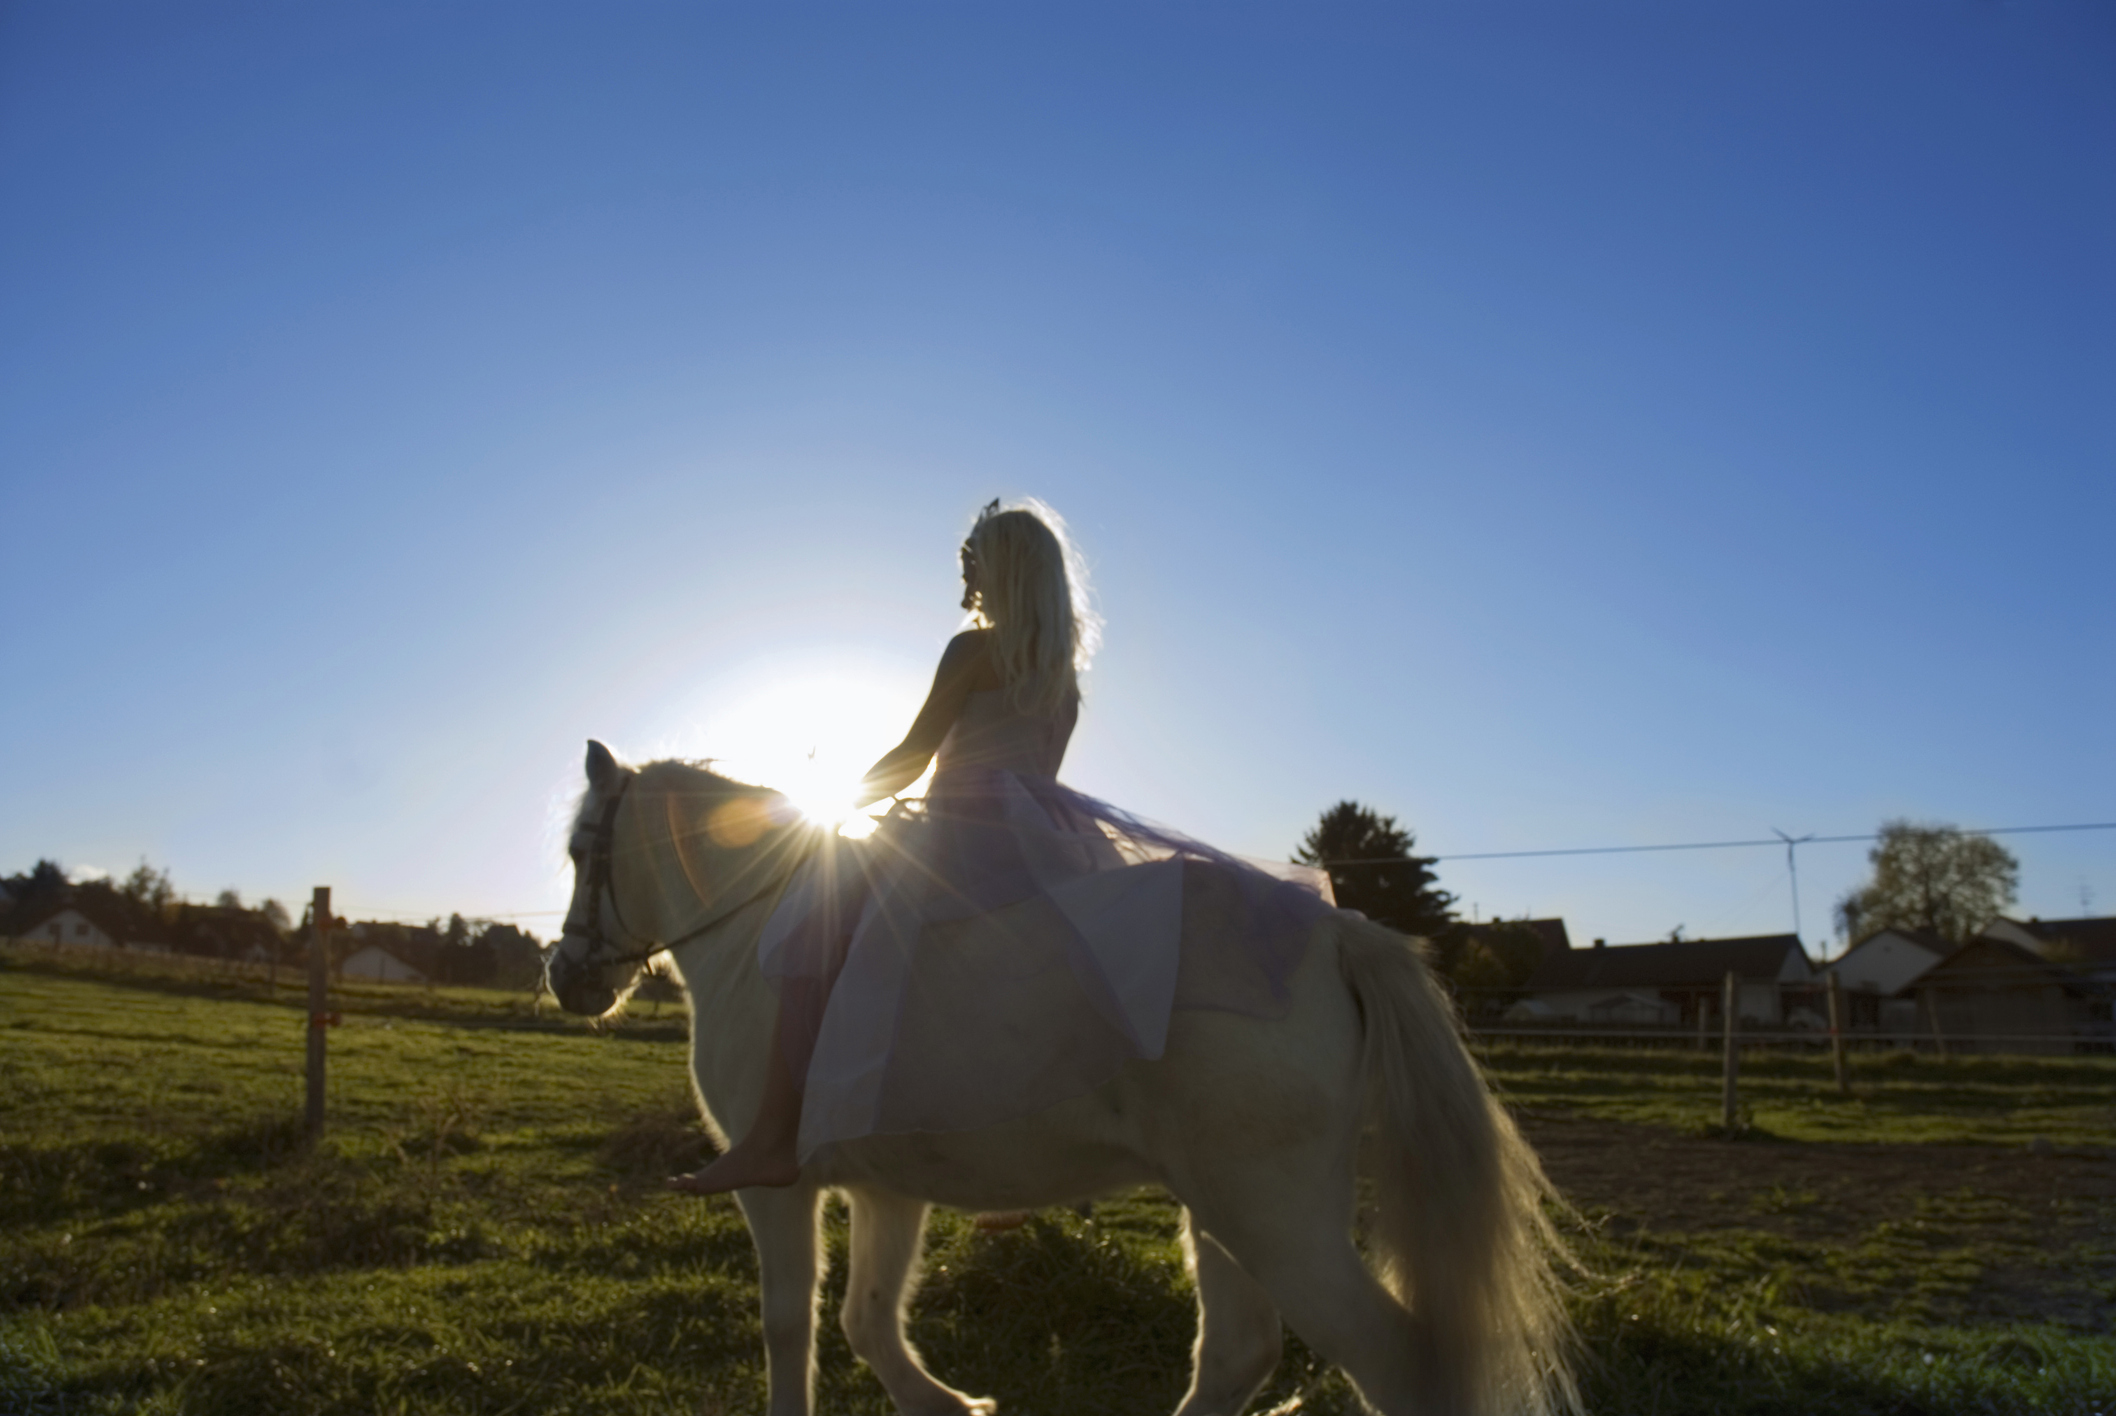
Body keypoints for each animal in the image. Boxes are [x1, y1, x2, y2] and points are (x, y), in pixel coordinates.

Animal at [545, 740, 1577, 1416]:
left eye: (578, 851)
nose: (565, 976)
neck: (757, 929)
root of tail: (1336, 934)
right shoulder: (888, 1190)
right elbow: (868, 1319)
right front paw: (951, 1407)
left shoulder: (776, 1189)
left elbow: (790, 1326)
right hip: (1226, 1211)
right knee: (1237, 1354)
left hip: (1273, 1218)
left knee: (1388, 1362)